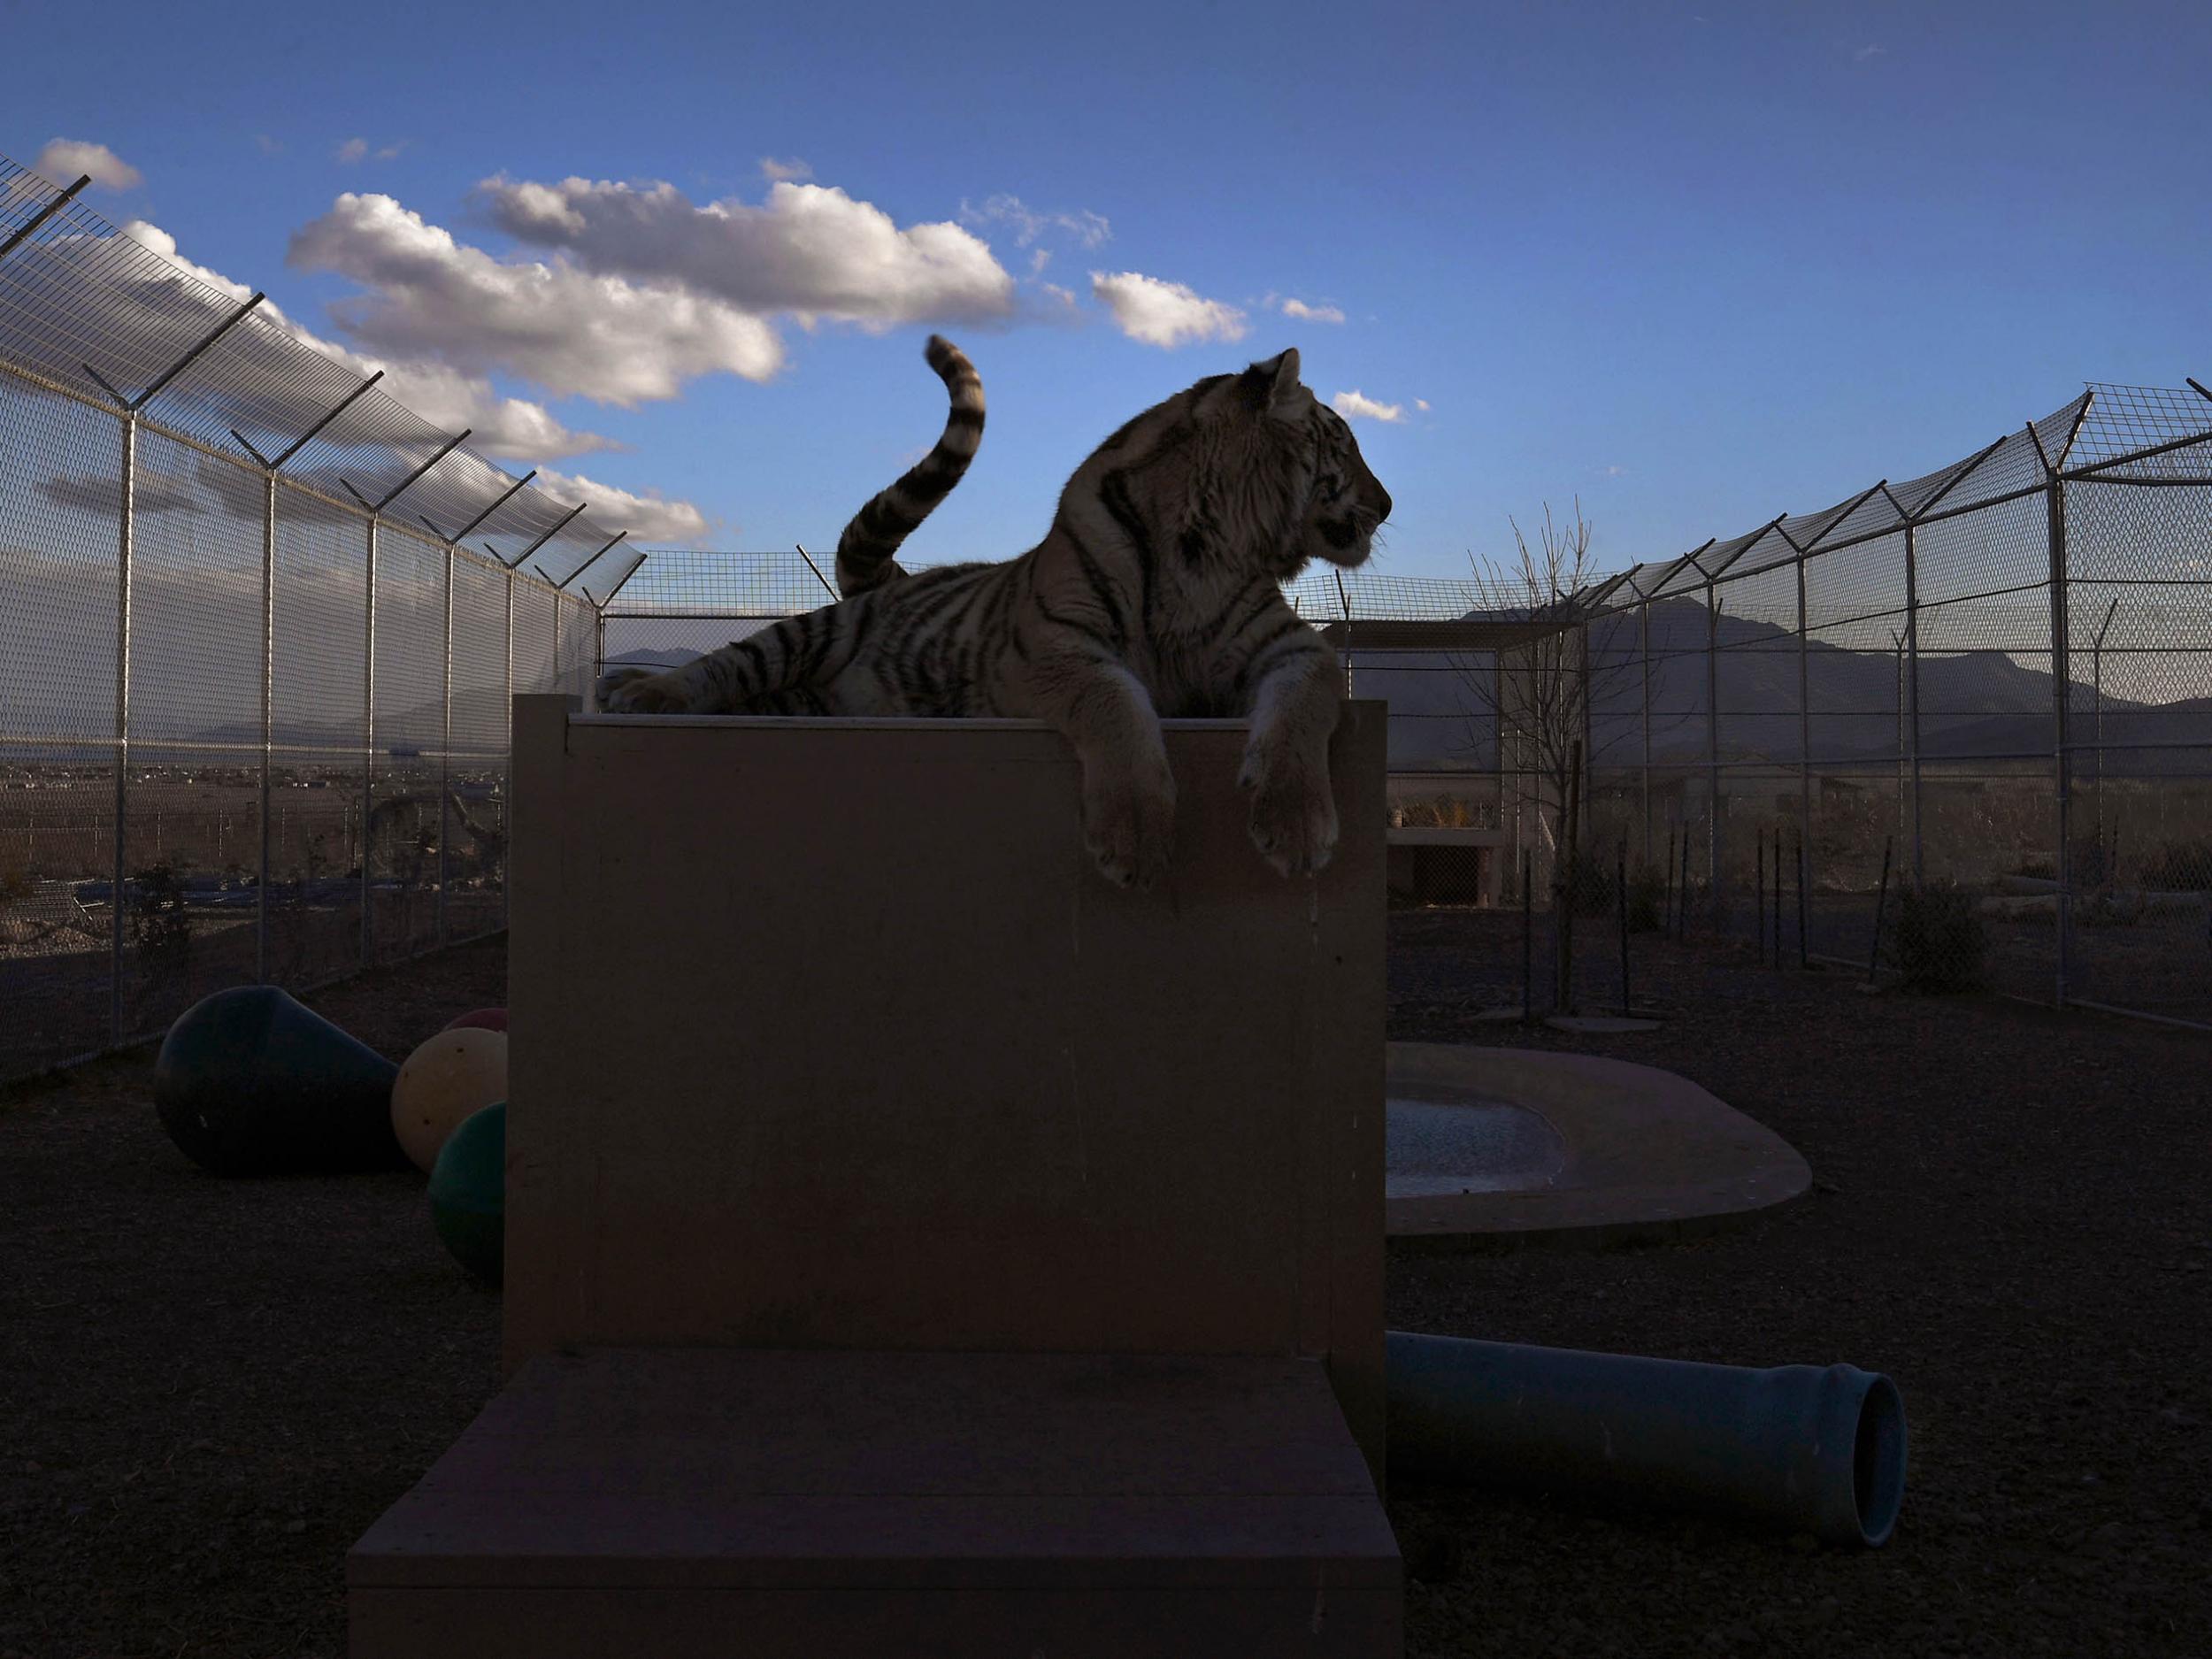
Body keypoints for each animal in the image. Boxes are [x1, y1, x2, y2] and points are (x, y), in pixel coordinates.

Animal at [602, 329, 1398, 889]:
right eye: (1347, 445)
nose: (1389, 503)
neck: (1210, 542)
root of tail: (889, 579)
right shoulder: (1054, 647)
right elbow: (1115, 701)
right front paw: (1136, 838)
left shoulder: (1292, 646)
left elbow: (1302, 707)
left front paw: (1296, 827)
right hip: (812, 635)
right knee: (728, 664)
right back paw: (640, 690)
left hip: (803, 701)